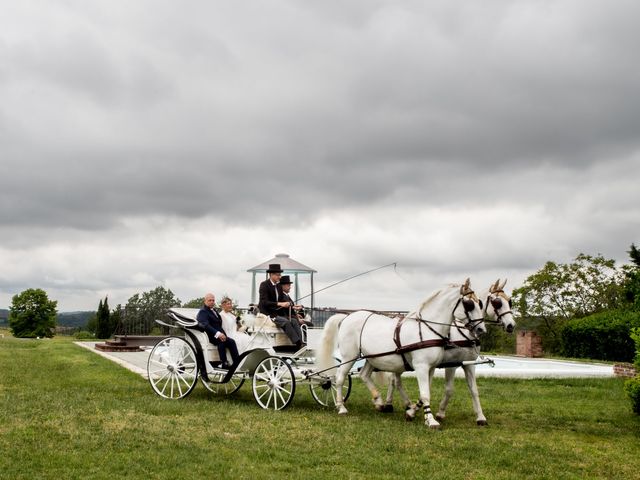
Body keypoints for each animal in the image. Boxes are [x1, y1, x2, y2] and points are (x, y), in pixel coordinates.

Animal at [318, 280, 488, 430]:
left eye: (480, 303)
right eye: (469, 304)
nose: (481, 330)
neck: (427, 329)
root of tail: (346, 317)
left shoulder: (431, 367)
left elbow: (425, 392)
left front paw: (412, 412)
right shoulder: (422, 366)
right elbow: (425, 394)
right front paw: (431, 420)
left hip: (371, 358)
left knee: (364, 375)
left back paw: (379, 402)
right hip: (349, 357)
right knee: (340, 378)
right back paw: (341, 407)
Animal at [380, 280, 516, 426]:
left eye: (509, 301)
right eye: (497, 302)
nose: (511, 325)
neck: (464, 333)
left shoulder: (469, 364)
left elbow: (474, 390)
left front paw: (480, 417)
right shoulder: (451, 364)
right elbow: (449, 389)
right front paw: (439, 413)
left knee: (394, 379)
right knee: (394, 380)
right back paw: (391, 404)